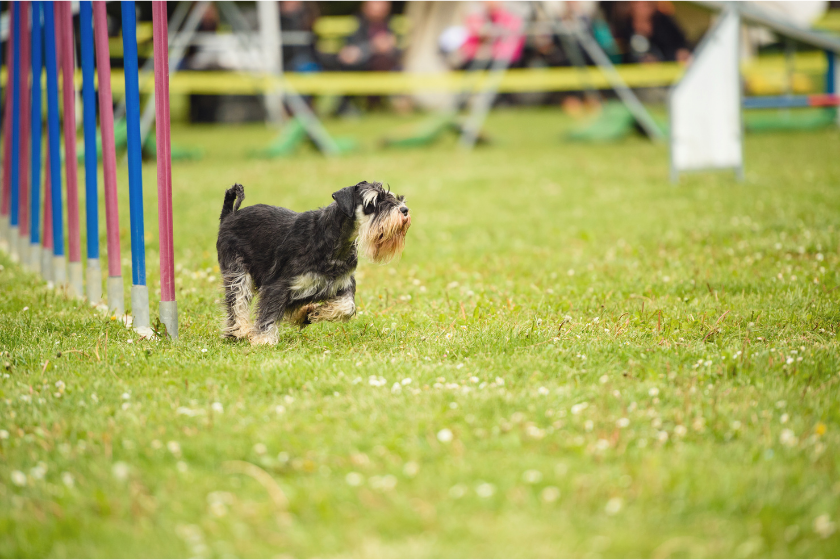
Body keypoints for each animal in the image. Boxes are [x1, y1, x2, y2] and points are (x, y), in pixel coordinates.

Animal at [215, 182, 408, 344]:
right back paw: (240, 330)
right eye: (373, 202)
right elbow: (269, 312)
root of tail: (229, 216)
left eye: (392, 197)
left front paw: (314, 313)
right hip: (237, 271)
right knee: (237, 301)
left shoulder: (342, 283)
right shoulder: (277, 285)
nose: (404, 209)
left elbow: (347, 306)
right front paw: (264, 340)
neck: (331, 240)